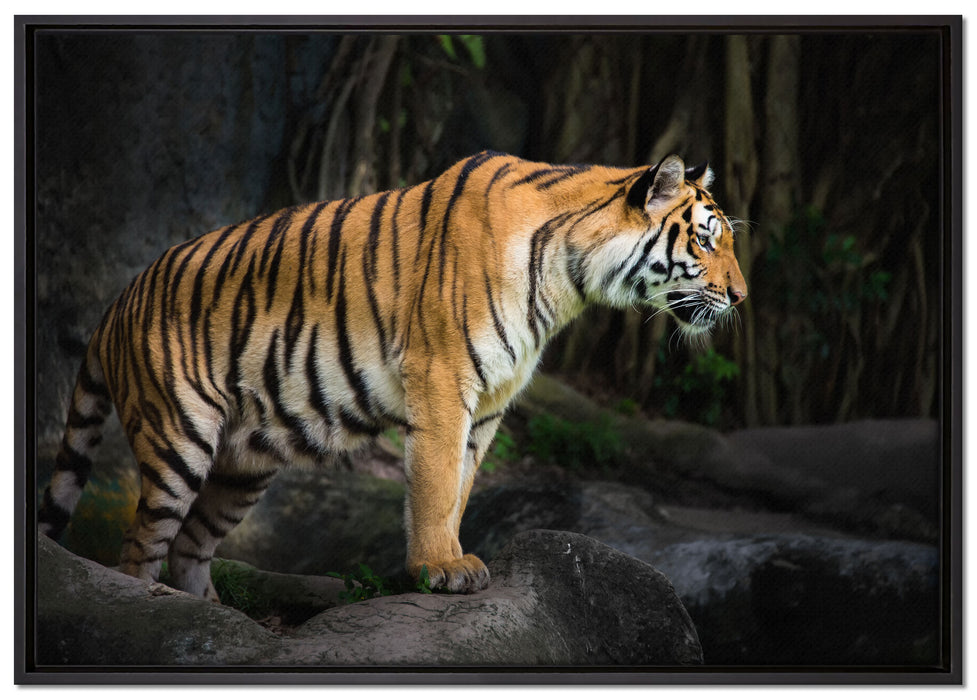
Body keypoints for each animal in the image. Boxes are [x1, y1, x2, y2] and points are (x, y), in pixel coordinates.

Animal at [38, 150, 747, 599]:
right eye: (706, 240)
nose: (741, 297)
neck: (569, 280)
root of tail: (116, 302)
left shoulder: (489, 404)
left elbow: (461, 486)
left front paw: (454, 555)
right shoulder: (441, 379)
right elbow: (433, 482)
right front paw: (440, 569)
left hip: (244, 465)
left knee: (189, 548)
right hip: (179, 438)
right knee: (140, 550)